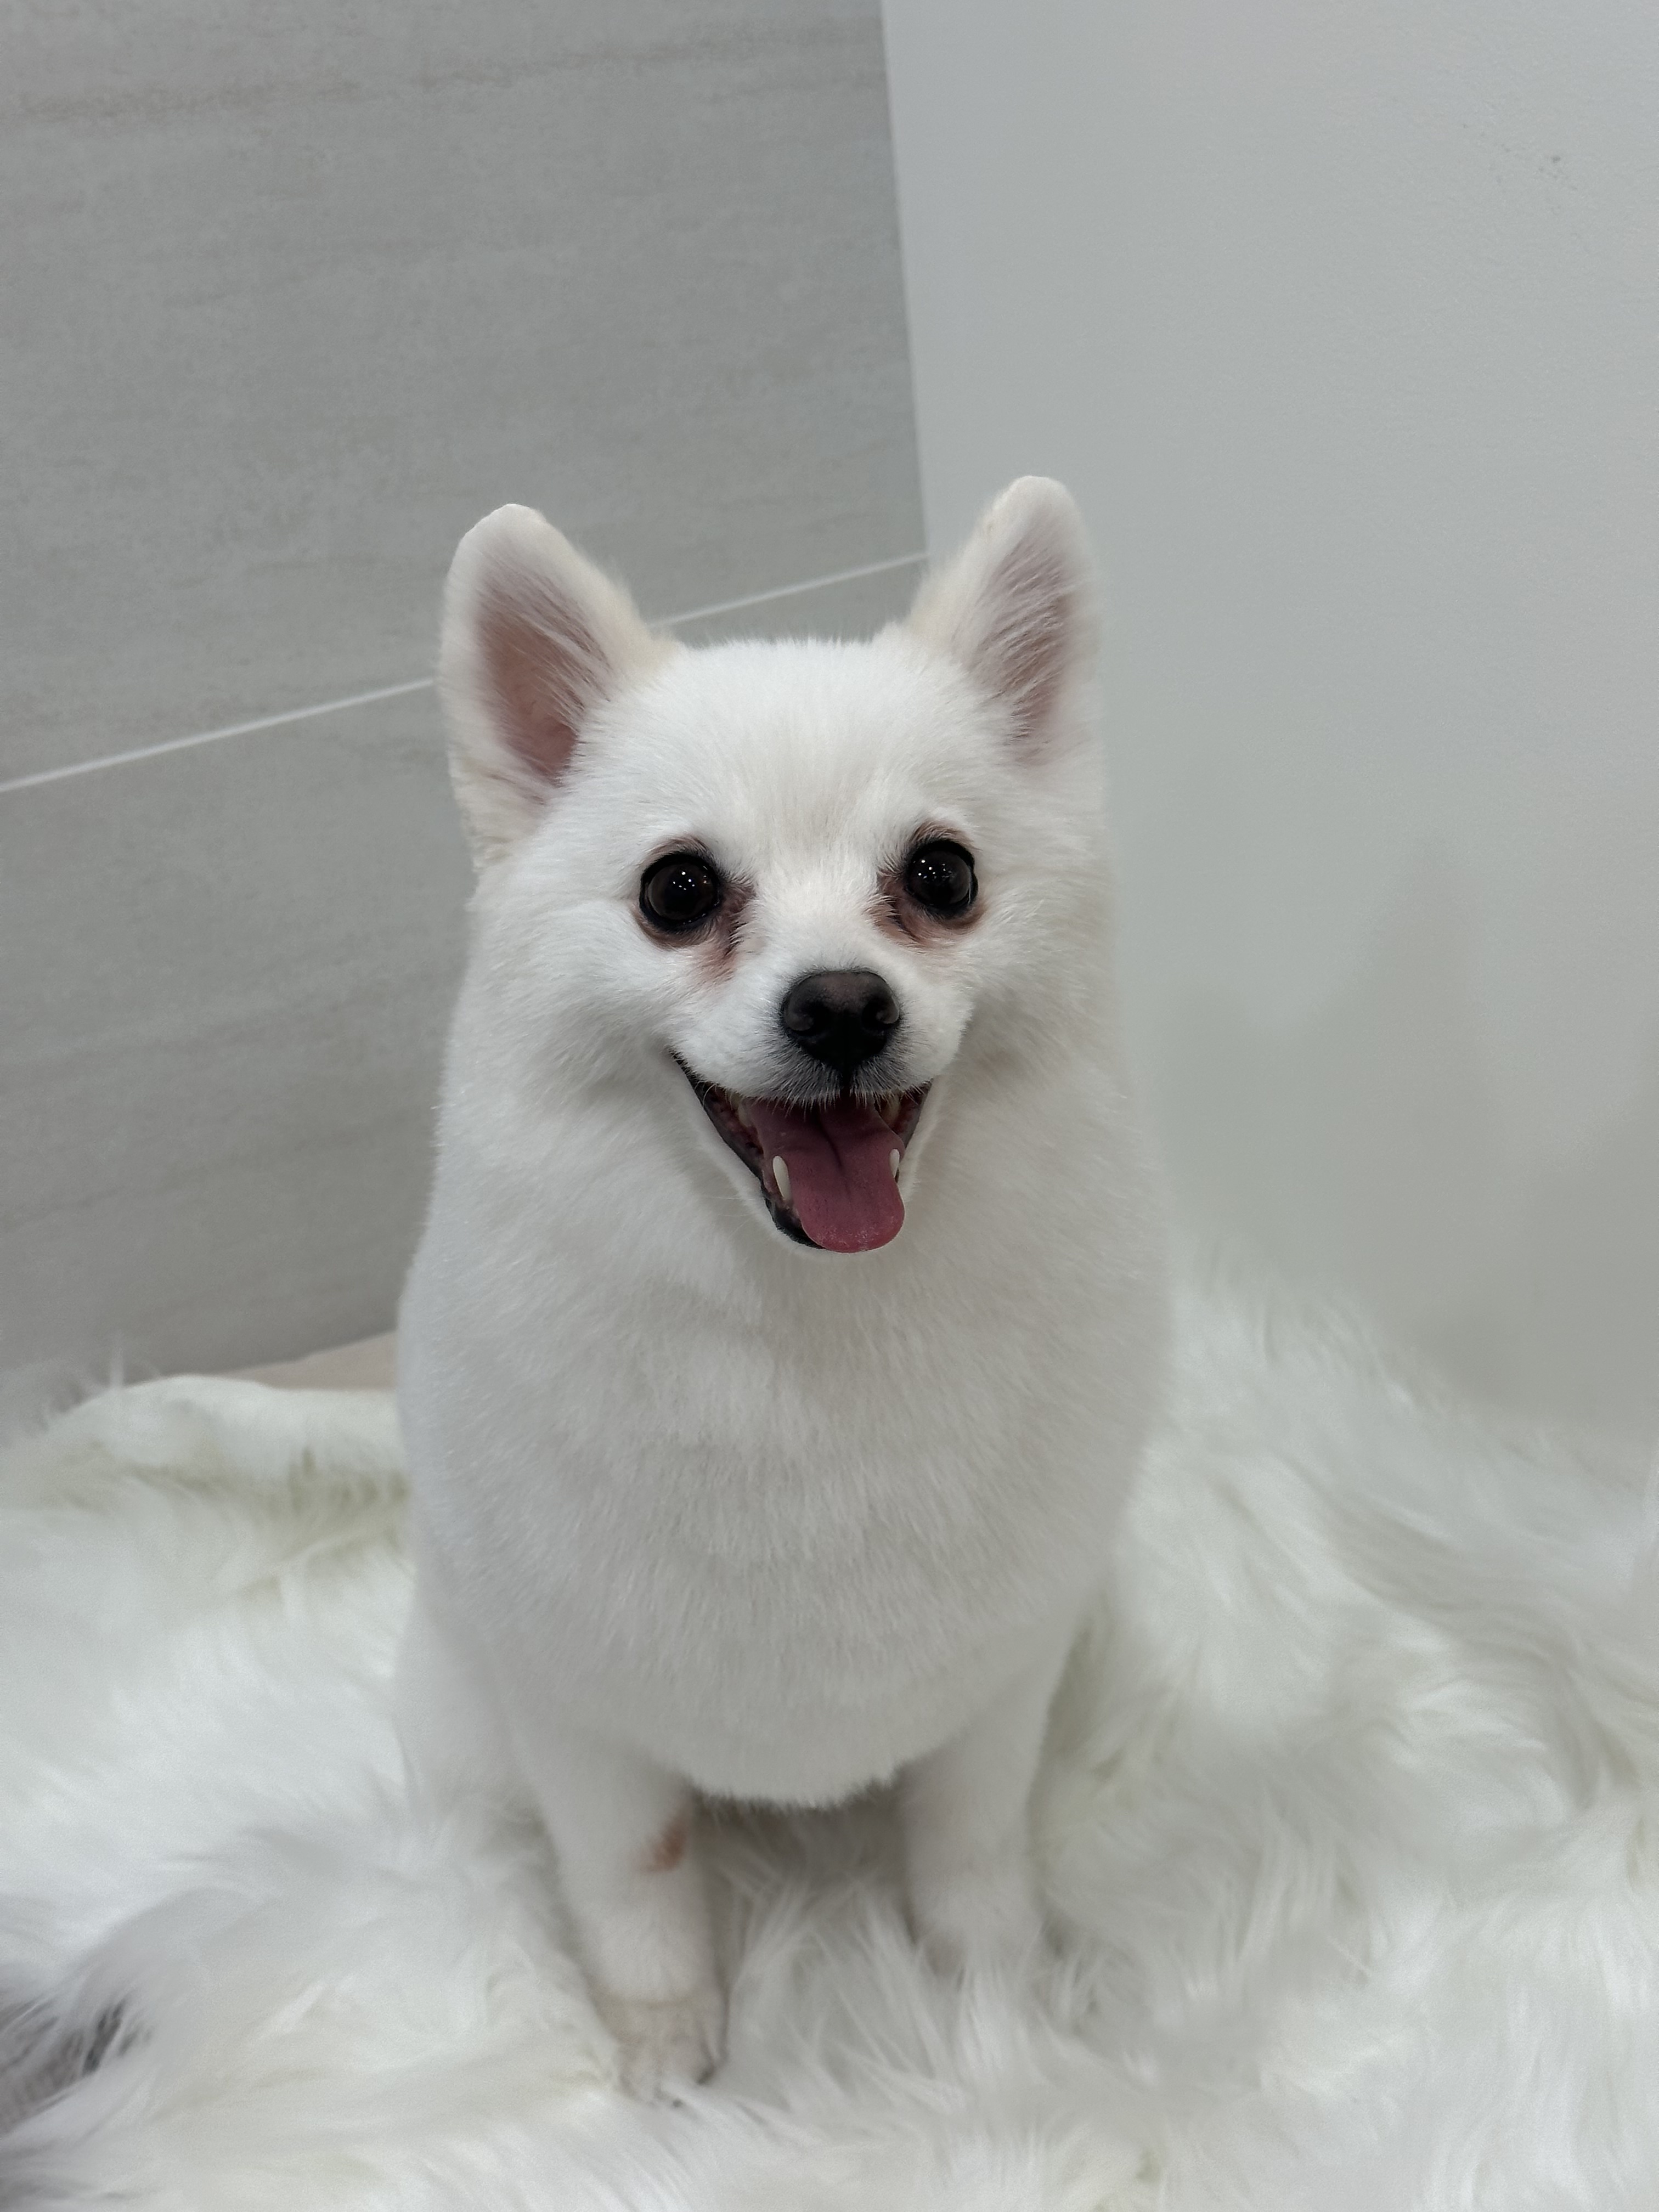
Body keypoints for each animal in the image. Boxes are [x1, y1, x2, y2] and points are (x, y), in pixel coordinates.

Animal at [394, 478, 1169, 2096]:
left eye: (943, 876)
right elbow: (636, 1881)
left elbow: (970, 1851)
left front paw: (995, 2010)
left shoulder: (993, 1688)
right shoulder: (580, 1712)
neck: (817, 1323)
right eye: (677, 893)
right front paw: (666, 2055)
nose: (841, 1005)